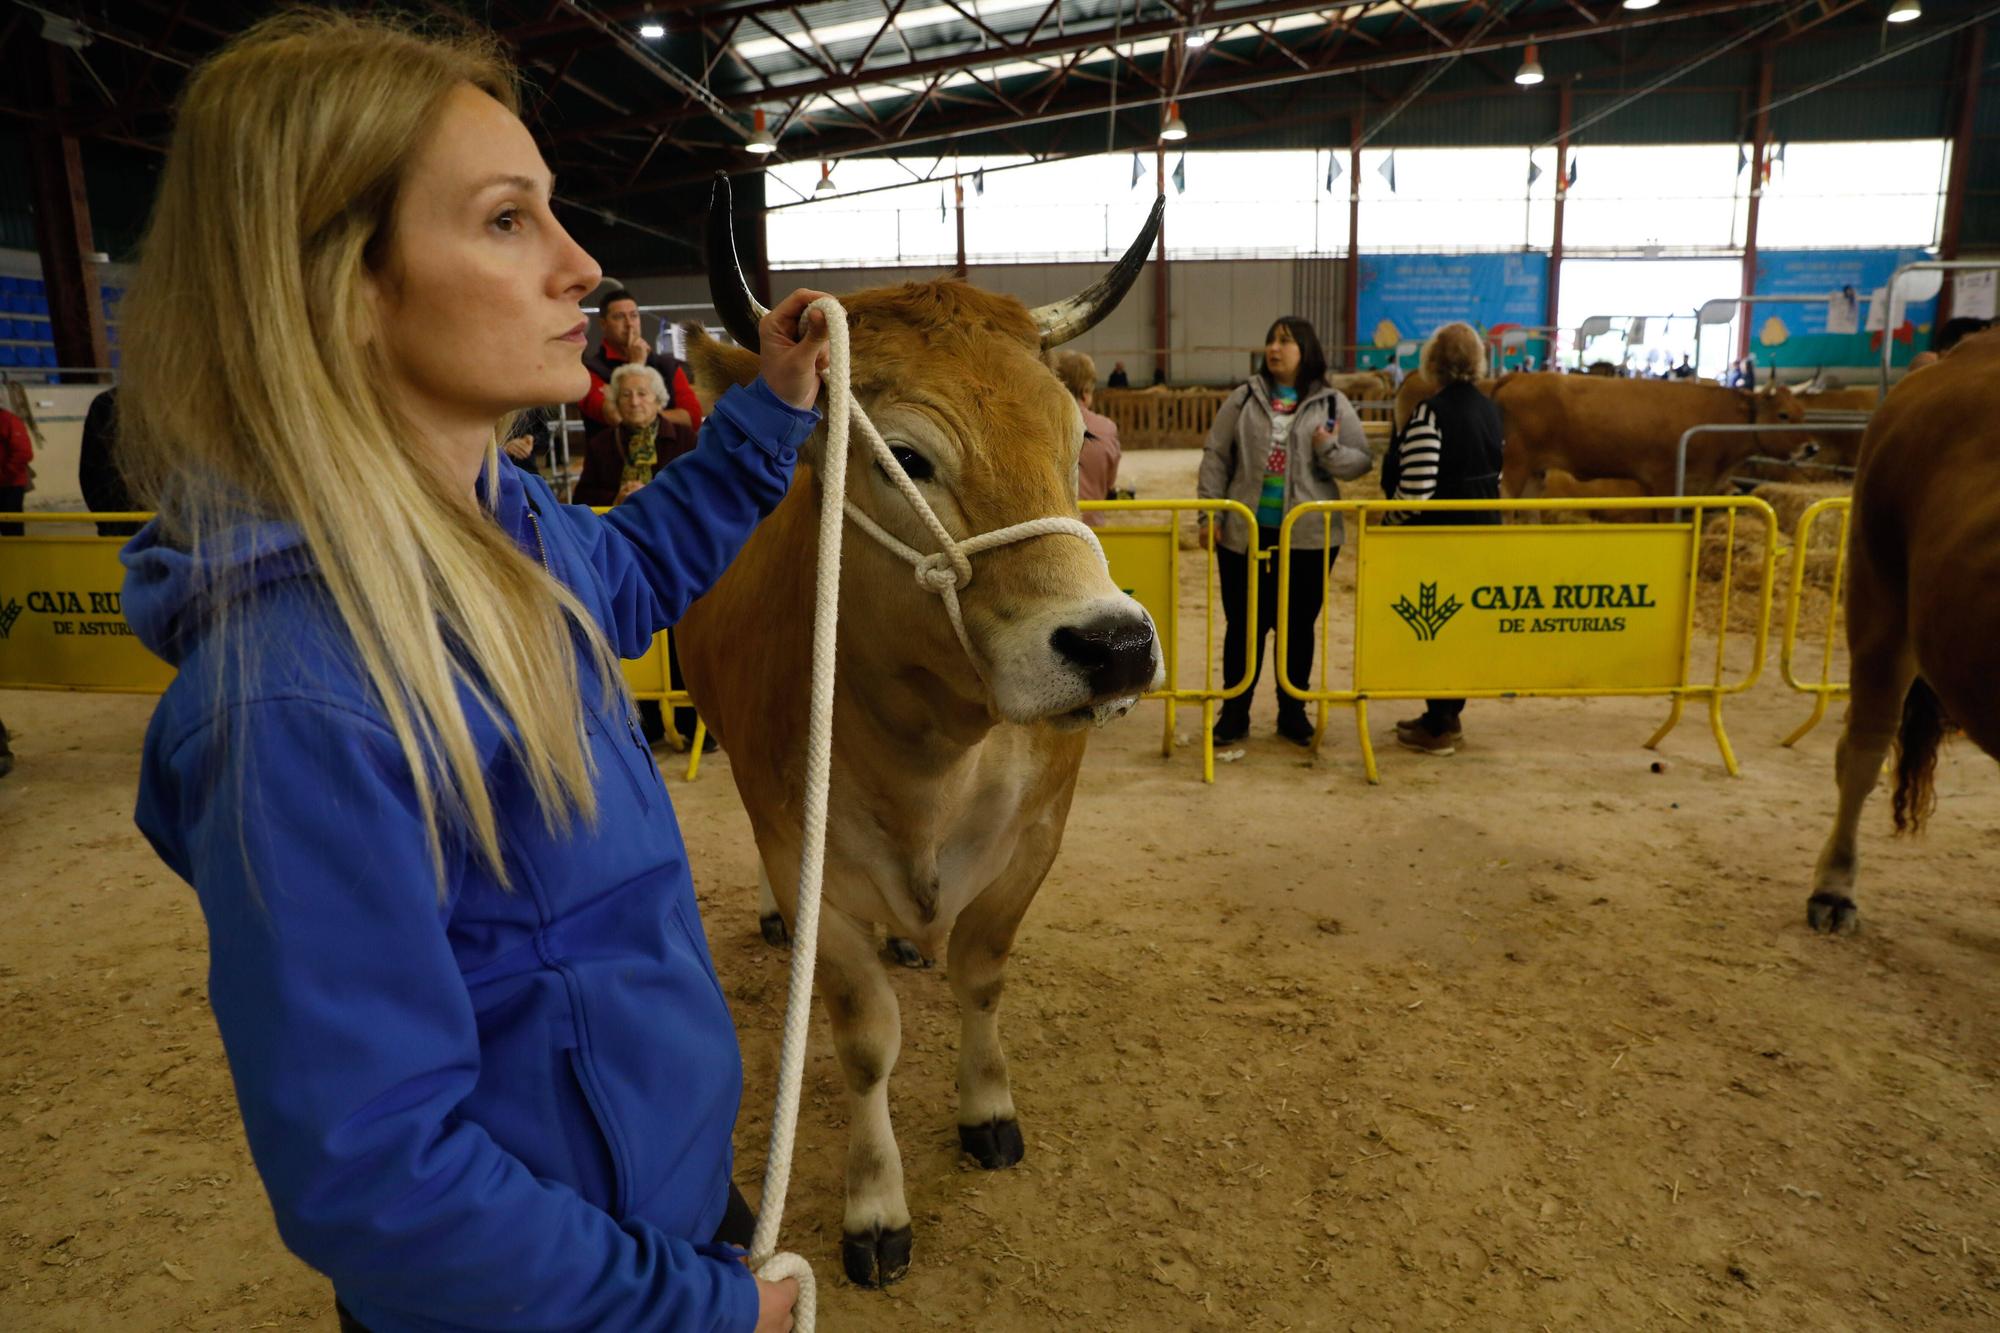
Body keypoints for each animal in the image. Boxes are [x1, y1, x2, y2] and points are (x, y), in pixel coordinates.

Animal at [680, 182, 1168, 1280]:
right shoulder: (802, 849)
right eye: (904, 458)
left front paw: (987, 1109)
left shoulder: (1038, 832)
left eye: (1073, 441)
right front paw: (875, 1203)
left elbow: (981, 970)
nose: (1114, 644)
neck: (929, 756)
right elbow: (865, 1035)